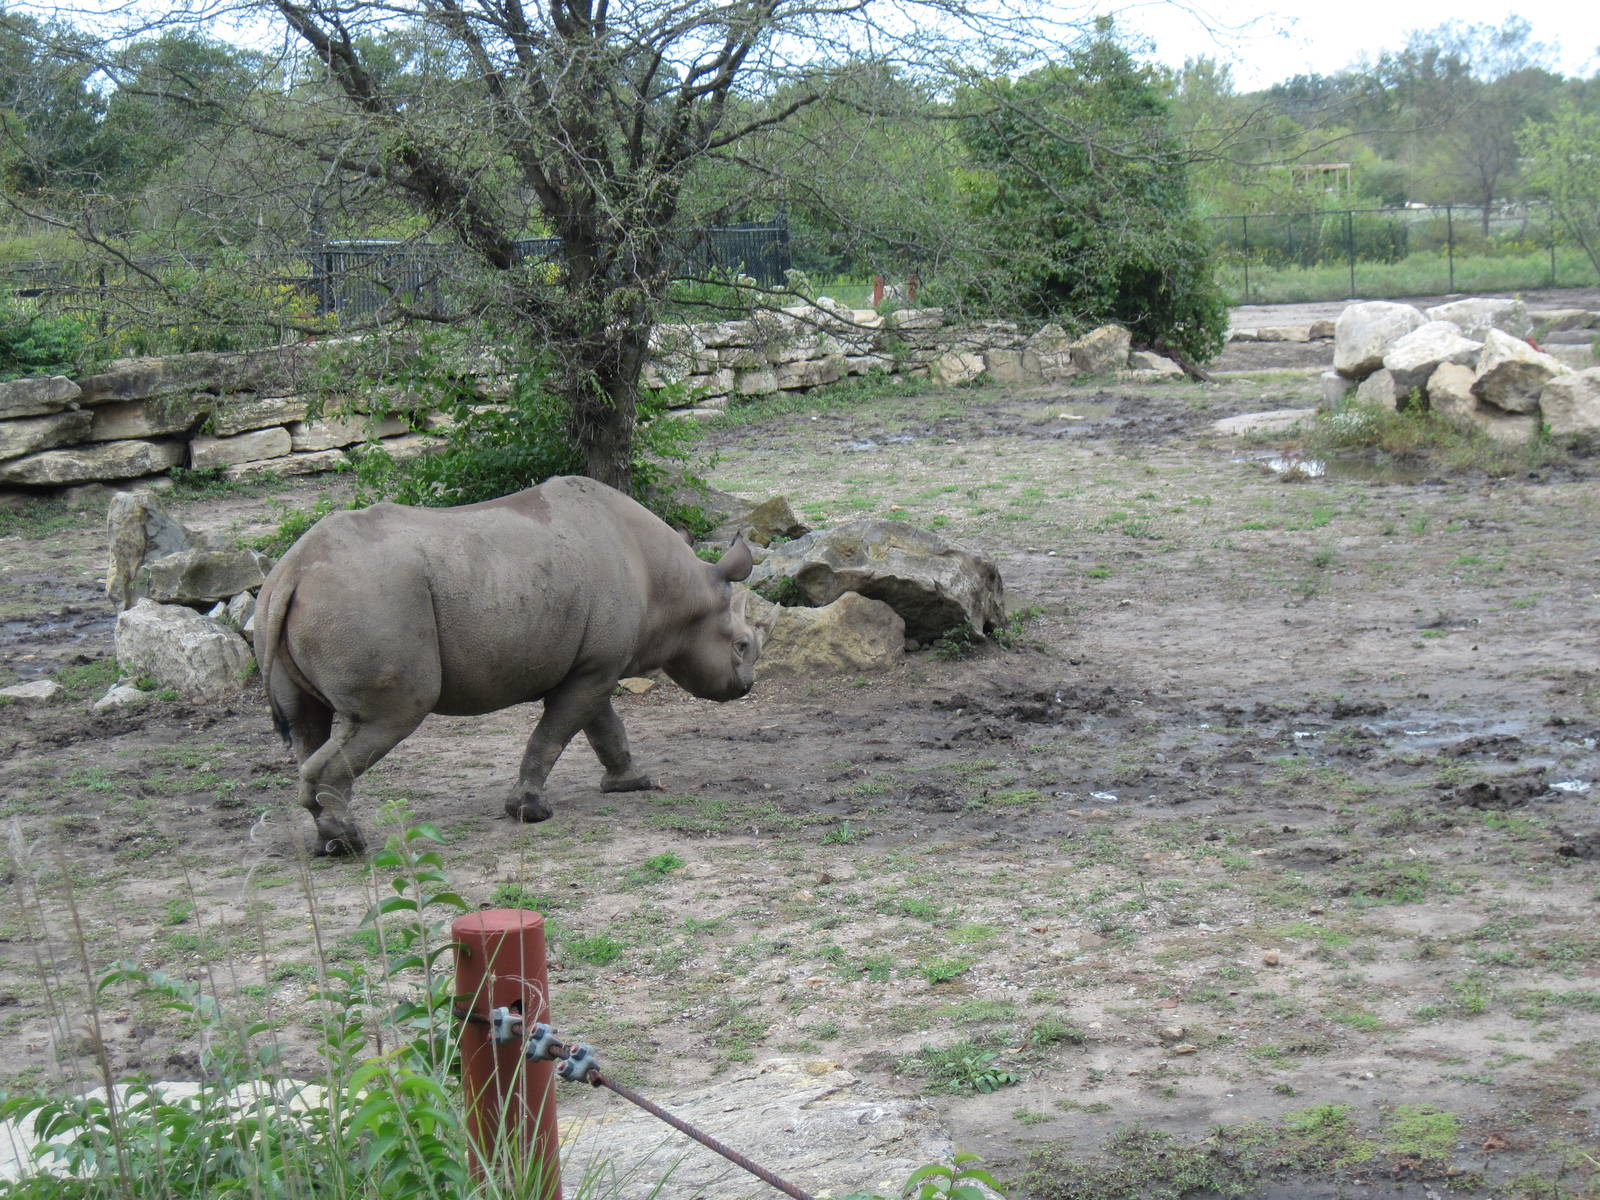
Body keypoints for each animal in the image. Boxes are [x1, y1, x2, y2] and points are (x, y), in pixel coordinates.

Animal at [253, 475, 765, 854]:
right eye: (742, 645)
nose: (747, 686)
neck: (679, 591)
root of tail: (290, 572)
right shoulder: (596, 669)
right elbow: (554, 735)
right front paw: (530, 812)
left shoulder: (591, 667)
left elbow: (603, 727)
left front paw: (632, 783)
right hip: (366, 601)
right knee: (388, 716)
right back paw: (352, 845)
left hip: (308, 601)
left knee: (308, 727)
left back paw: (326, 844)